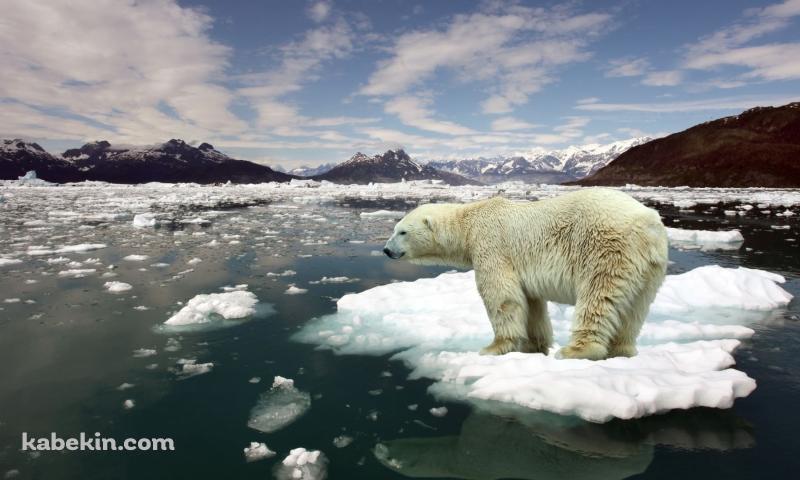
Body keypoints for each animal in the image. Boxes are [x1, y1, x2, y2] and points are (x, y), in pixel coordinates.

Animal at [382, 188, 668, 360]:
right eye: (394, 229)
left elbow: (501, 296)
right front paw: (534, 346)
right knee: (635, 309)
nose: (386, 250)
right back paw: (623, 350)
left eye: (402, 232)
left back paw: (576, 350)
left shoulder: (491, 245)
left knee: (598, 297)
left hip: (606, 248)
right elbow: (531, 304)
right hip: (650, 268)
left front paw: (493, 347)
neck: (468, 223)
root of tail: (648, 223)